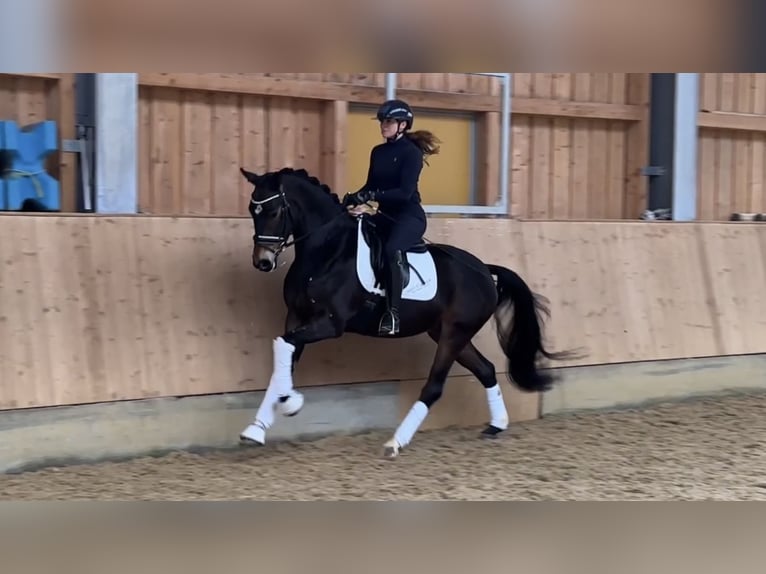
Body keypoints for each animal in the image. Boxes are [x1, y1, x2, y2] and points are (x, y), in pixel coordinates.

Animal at [238, 165, 576, 460]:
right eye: (252, 211)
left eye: (274, 211)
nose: (263, 262)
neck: (327, 252)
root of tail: (482, 270)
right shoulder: (296, 317)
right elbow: (283, 358)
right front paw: (258, 427)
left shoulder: (330, 324)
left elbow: (284, 346)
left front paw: (290, 403)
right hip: (449, 333)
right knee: (486, 370)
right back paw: (497, 425)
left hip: (453, 334)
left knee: (435, 387)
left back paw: (395, 442)